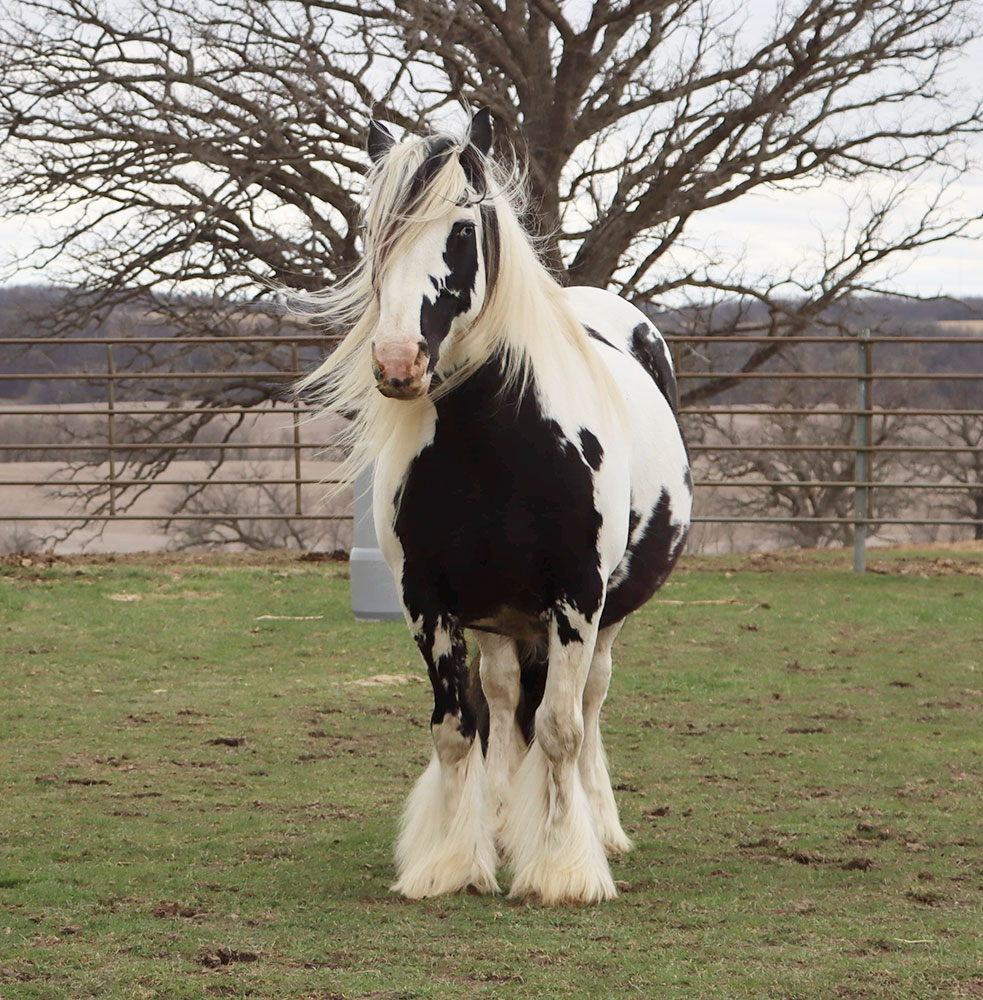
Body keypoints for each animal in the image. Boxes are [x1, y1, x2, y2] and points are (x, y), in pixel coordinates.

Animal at [298, 109, 692, 904]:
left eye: (459, 229)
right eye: (377, 232)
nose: (397, 362)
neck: (497, 441)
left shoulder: (575, 598)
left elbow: (563, 730)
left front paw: (564, 871)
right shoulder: (430, 602)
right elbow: (458, 729)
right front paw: (452, 863)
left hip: (604, 618)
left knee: (586, 707)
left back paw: (599, 828)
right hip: (500, 621)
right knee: (508, 702)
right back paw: (508, 825)